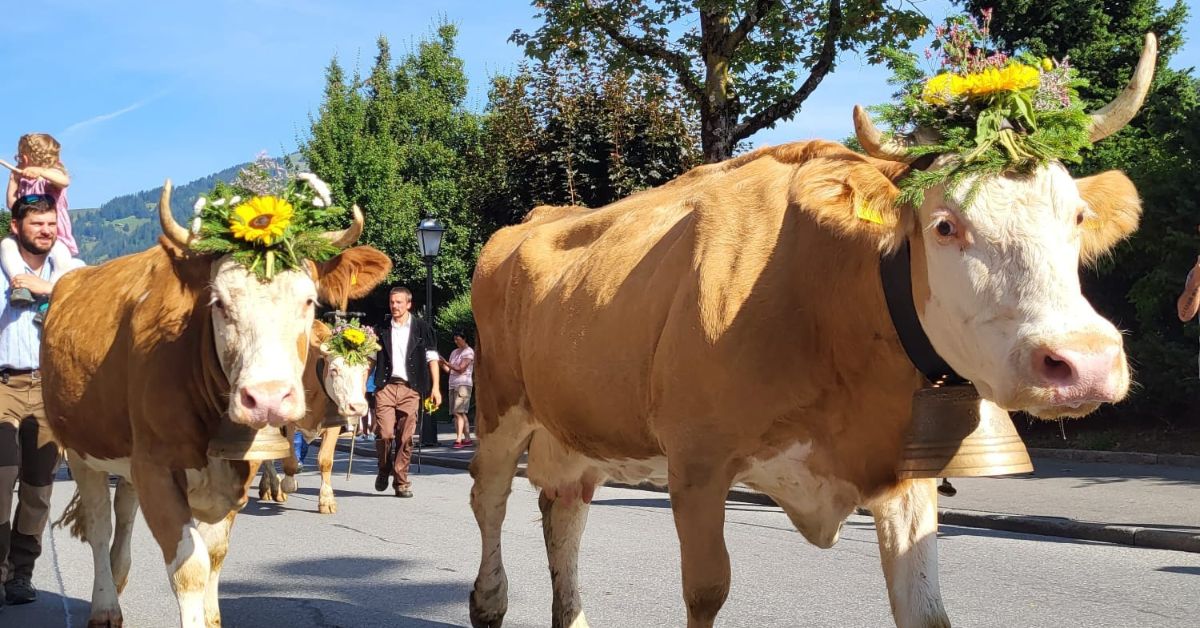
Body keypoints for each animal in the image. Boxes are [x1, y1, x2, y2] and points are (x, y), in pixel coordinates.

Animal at [260, 319, 372, 516]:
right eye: (334, 370)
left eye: (365, 370)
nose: (357, 407)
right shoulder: (289, 424)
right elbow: (290, 461)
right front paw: (288, 484)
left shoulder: (334, 423)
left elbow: (325, 461)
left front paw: (327, 500)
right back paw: (275, 486)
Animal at [463, 38, 1156, 628]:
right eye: (944, 225)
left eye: (1078, 216)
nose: (1085, 362)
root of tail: (536, 217)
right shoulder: (697, 462)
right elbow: (706, 591)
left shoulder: (904, 470)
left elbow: (926, 609)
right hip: (499, 401)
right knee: (489, 497)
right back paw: (488, 602)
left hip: (575, 425)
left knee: (565, 504)